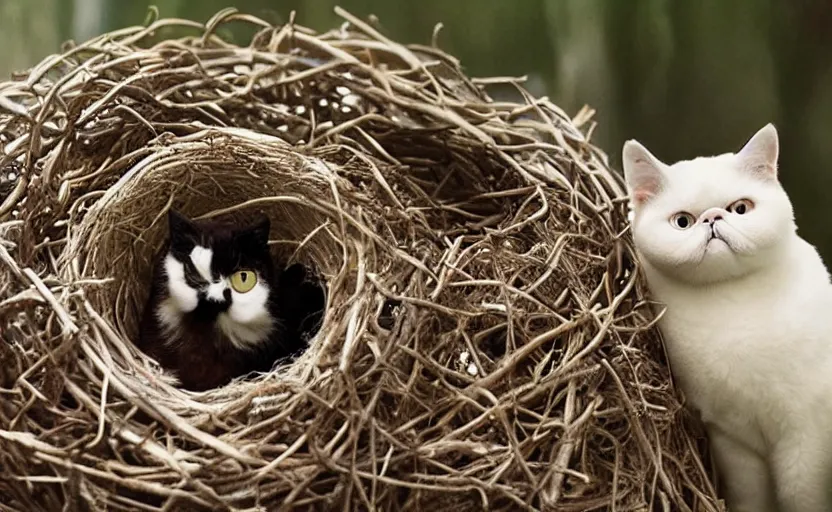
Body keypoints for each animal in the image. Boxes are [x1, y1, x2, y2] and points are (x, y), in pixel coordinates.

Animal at [620, 125, 832, 512]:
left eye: (741, 208)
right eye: (683, 221)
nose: (713, 218)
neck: (731, 304)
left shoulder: (807, 434)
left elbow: (800, 496)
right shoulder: (733, 439)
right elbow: (750, 496)